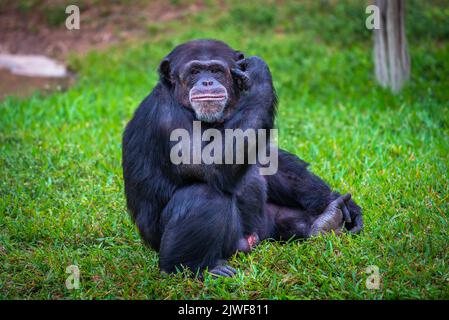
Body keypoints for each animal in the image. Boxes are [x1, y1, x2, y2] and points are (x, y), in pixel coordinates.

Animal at [121, 38, 360, 278]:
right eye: (195, 71)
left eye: (216, 70)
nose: (206, 82)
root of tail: (248, 242)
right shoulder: (167, 119)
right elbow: (216, 163)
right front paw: (258, 74)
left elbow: (265, 157)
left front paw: (340, 203)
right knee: (205, 193)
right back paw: (195, 267)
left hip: (264, 226)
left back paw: (324, 222)